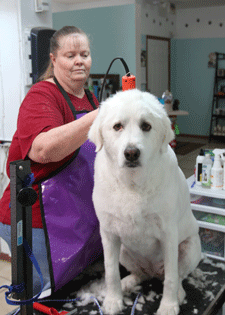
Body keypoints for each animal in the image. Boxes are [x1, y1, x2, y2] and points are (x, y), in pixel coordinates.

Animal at [88, 89, 202, 315]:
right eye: (117, 126)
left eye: (146, 126)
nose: (131, 153)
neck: (132, 183)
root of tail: (153, 271)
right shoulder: (109, 234)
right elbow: (111, 272)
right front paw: (113, 300)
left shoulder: (168, 235)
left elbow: (171, 277)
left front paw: (168, 306)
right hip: (124, 251)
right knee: (141, 274)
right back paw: (127, 283)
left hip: (190, 248)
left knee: (176, 276)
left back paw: (178, 294)